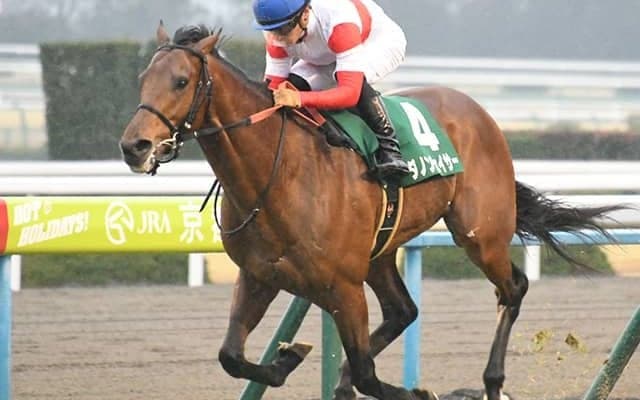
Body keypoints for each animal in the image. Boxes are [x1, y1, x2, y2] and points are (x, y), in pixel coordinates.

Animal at [119, 24, 624, 400]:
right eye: (143, 78)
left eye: (181, 81)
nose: (134, 146)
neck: (277, 173)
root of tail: (478, 110)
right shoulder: (260, 275)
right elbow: (231, 356)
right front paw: (287, 358)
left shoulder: (343, 286)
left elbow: (367, 373)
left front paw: (417, 391)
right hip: (381, 249)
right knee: (403, 311)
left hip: (480, 233)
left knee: (512, 288)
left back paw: (492, 381)